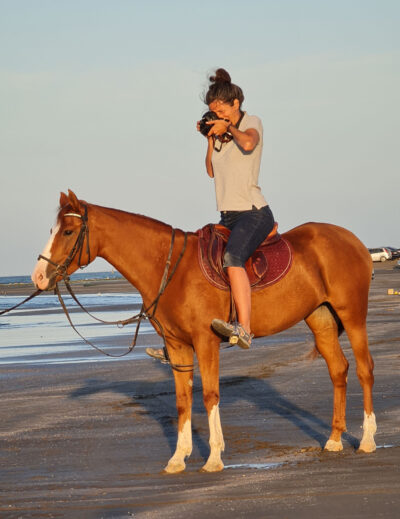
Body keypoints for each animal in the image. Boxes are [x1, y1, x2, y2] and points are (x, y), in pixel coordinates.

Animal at [32, 192, 378, 476]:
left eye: (67, 231)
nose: (38, 277)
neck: (171, 269)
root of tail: (353, 240)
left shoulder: (205, 341)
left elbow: (210, 395)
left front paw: (213, 458)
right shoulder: (178, 347)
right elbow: (182, 400)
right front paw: (178, 458)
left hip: (353, 316)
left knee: (364, 370)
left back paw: (367, 440)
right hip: (320, 319)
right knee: (338, 370)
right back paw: (334, 439)